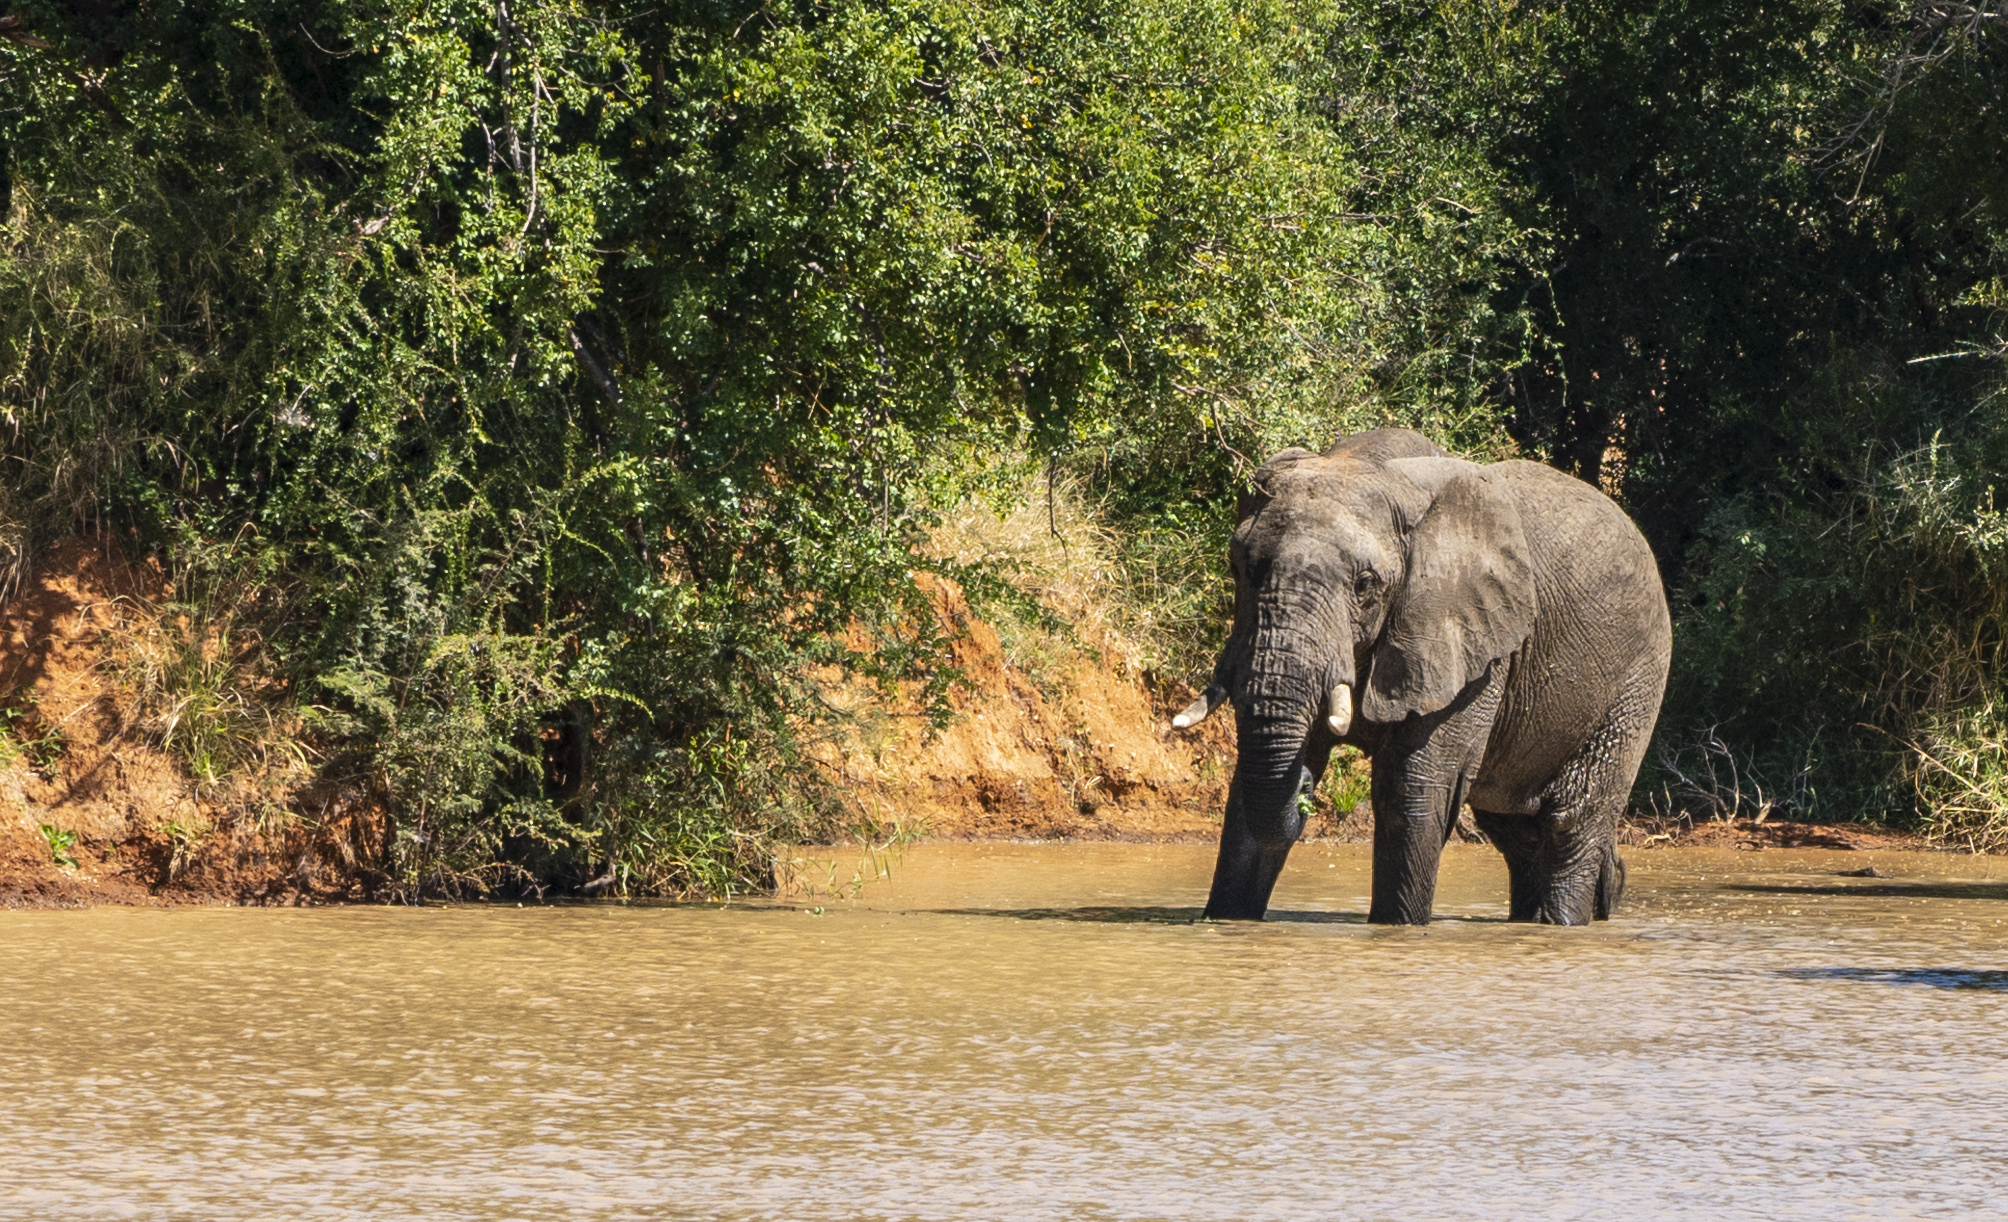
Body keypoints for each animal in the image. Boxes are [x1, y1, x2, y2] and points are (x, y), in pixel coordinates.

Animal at [1174, 427, 1671, 925]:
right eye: (1237, 566)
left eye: (1365, 585)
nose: (1306, 787)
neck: (1373, 468)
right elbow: (1246, 790)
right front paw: (1227, 922)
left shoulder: (1472, 648)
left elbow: (1411, 788)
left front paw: (1397, 929)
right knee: (1515, 828)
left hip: (1638, 678)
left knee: (1571, 821)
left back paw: (1561, 922)